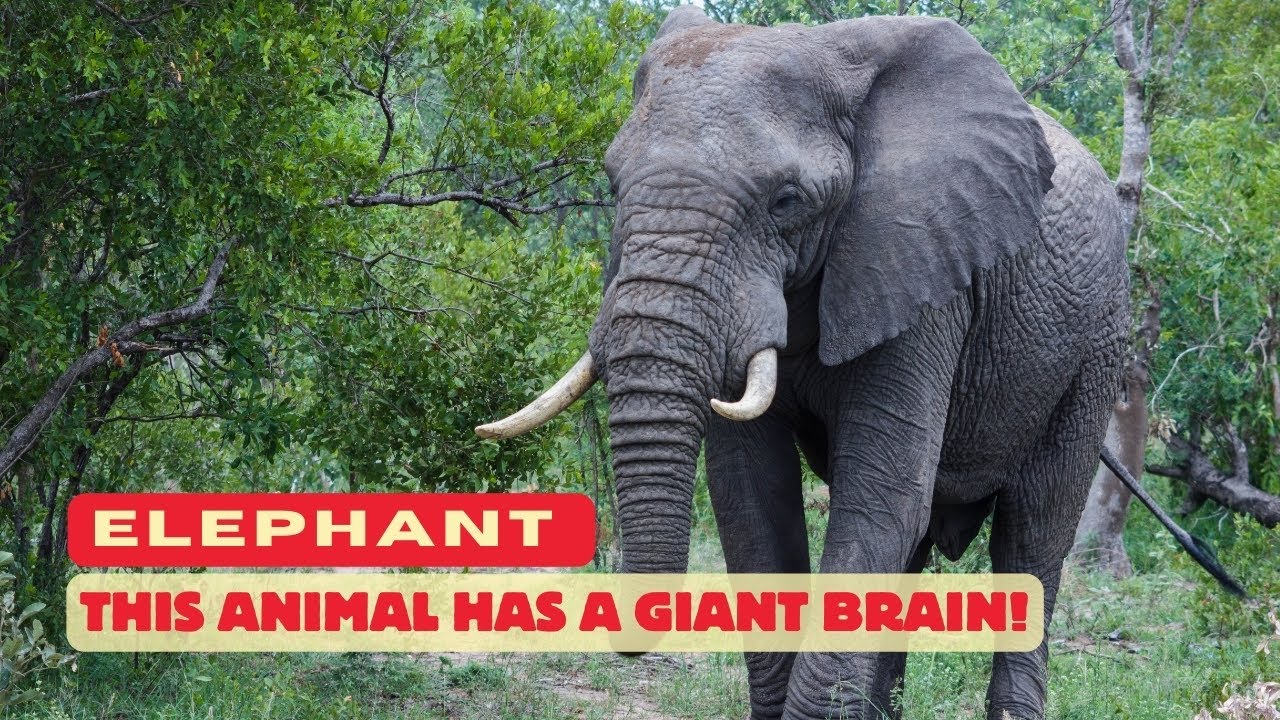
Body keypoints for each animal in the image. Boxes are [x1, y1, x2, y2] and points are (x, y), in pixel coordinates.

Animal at [477, 7, 1131, 719]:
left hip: (1097, 340)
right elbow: (751, 500)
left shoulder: (921, 270)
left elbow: (880, 498)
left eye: (786, 201)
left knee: (1034, 529)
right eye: (614, 182)